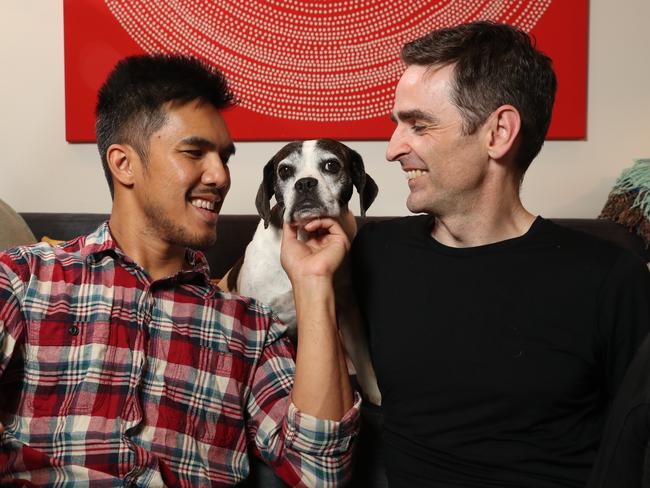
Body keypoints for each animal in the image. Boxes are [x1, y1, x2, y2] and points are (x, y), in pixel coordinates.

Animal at [220, 137, 380, 404]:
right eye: (284, 170)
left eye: (331, 165)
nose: (304, 183)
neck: (306, 238)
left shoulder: (349, 315)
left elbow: (363, 358)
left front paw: (375, 393)